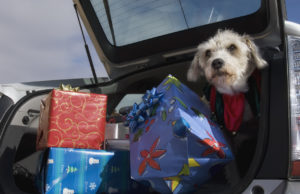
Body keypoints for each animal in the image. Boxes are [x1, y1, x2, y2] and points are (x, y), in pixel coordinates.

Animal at [188, 29, 268, 177]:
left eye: (232, 47)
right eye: (208, 52)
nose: (216, 62)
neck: (233, 96)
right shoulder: (224, 136)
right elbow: (231, 166)